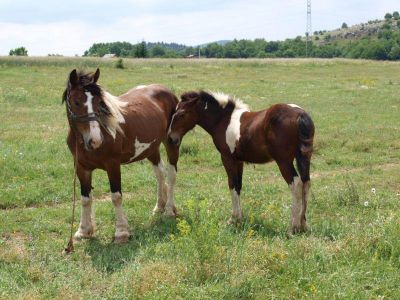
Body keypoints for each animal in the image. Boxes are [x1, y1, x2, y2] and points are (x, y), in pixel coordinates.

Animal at [61, 69, 180, 243]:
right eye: (76, 102)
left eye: (99, 102)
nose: (95, 140)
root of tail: (167, 91)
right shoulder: (81, 168)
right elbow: (85, 199)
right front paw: (83, 231)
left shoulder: (113, 165)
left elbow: (116, 197)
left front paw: (121, 232)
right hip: (151, 149)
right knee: (159, 174)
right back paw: (159, 207)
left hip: (171, 142)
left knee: (171, 174)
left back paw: (170, 210)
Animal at [167, 91, 314, 234]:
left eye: (181, 114)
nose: (171, 138)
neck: (223, 120)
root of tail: (300, 114)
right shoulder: (239, 161)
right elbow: (238, 186)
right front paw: (240, 218)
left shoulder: (227, 158)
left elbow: (232, 184)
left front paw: (233, 219)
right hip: (304, 157)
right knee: (306, 184)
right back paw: (303, 225)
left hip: (284, 161)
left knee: (296, 185)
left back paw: (293, 227)